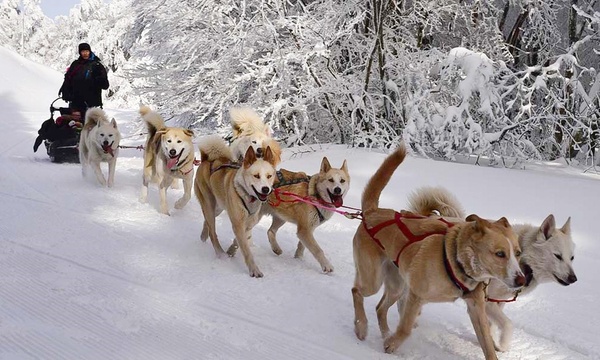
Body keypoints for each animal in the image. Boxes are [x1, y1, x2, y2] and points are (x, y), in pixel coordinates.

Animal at [195, 134, 278, 278]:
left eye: (269, 176)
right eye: (256, 176)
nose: (266, 189)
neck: (248, 197)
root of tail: (206, 160)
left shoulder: (248, 224)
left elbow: (240, 241)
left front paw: (231, 251)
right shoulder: (238, 223)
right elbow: (246, 249)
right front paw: (254, 270)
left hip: (218, 206)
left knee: (207, 223)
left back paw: (203, 236)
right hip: (209, 204)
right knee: (212, 231)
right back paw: (220, 253)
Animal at [352, 144, 524, 360]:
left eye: (518, 253)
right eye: (500, 254)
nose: (522, 280)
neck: (454, 260)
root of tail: (372, 212)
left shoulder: (476, 307)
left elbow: (487, 344)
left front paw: (390, 343)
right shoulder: (416, 296)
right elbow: (406, 328)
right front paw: (392, 344)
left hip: (397, 285)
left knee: (380, 308)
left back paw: (385, 334)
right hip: (373, 281)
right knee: (357, 291)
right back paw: (362, 327)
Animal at [408, 186, 576, 352]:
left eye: (572, 258)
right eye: (558, 256)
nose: (574, 278)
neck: (524, 261)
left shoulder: (498, 301)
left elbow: (493, 325)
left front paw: (493, 343)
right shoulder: (486, 301)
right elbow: (508, 324)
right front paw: (503, 345)